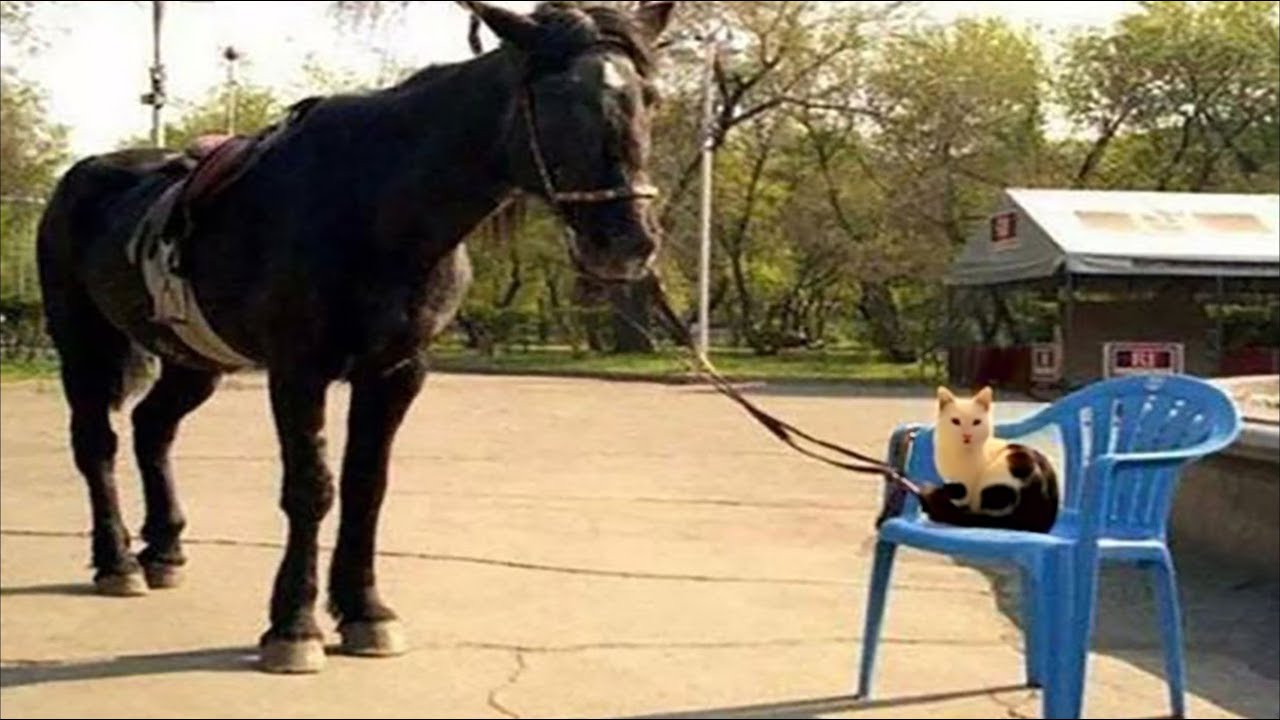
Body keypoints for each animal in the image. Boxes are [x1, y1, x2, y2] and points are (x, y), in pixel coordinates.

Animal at [35, 0, 676, 674]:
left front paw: (366, 613)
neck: (373, 206)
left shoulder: (394, 373)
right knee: (97, 444)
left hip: (193, 360)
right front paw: (293, 626)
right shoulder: (298, 371)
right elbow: (311, 489)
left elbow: (367, 487)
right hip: (81, 342)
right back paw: (118, 562)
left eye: (651, 96)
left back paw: (163, 550)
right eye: (556, 97)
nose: (627, 241)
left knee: (153, 428)